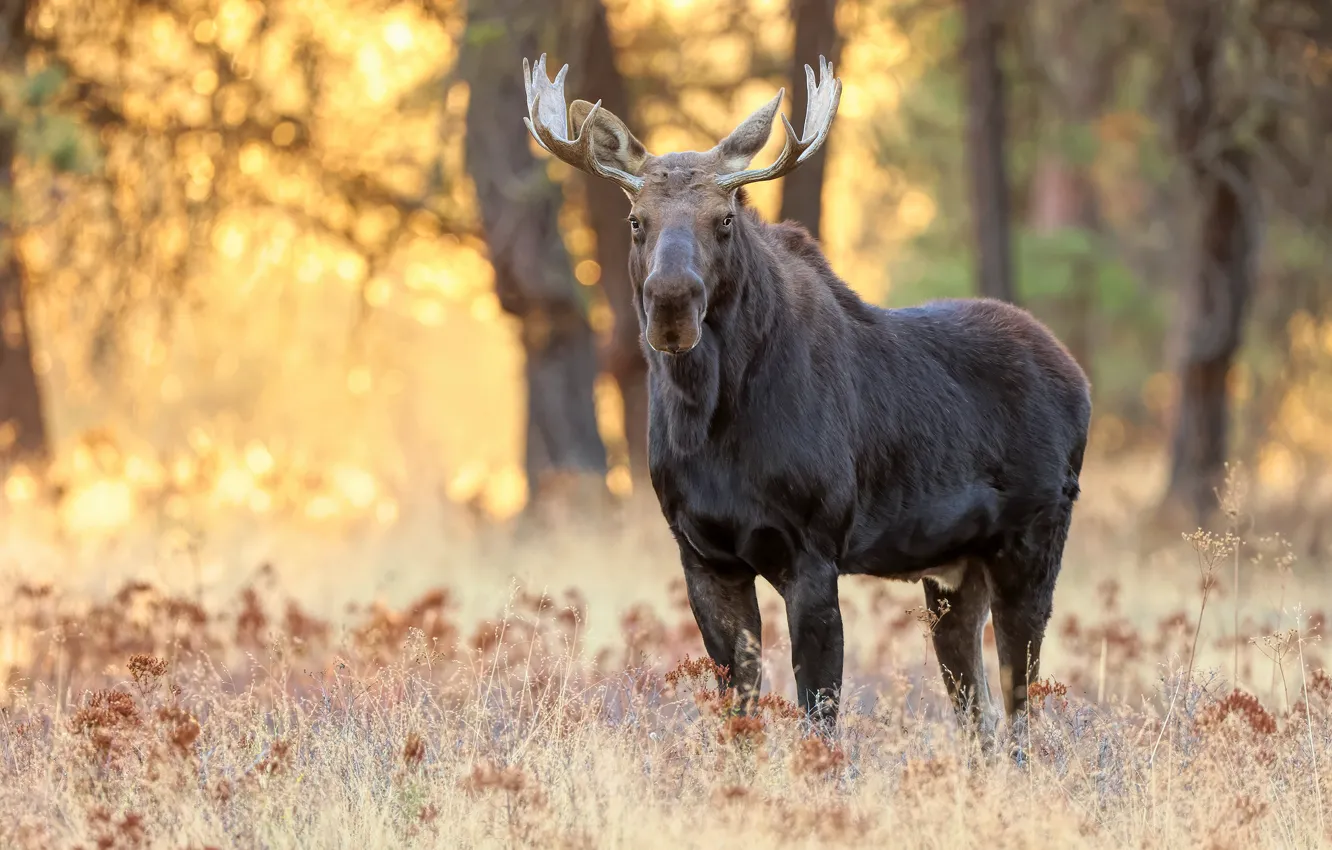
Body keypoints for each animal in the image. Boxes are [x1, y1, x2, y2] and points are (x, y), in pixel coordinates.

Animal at [520, 54, 1091, 746]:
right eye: (636, 221)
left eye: (725, 218)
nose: (672, 303)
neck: (709, 424)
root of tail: (1079, 379)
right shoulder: (703, 556)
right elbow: (739, 709)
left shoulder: (814, 552)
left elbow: (819, 715)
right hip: (953, 572)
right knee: (979, 716)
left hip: (1032, 545)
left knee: (1020, 713)